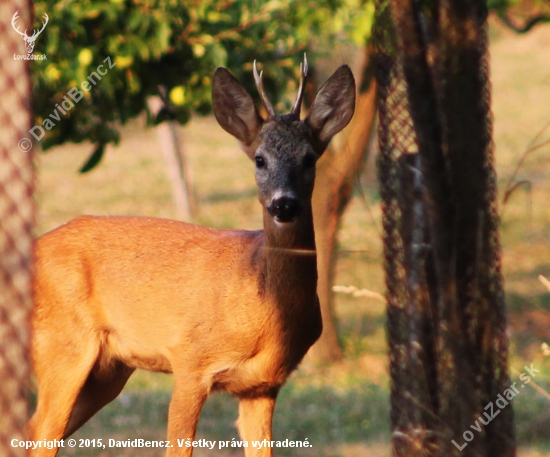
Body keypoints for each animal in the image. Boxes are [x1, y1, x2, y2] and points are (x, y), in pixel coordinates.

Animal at [29, 55, 358, 454]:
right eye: (259, 159)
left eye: (309, 159)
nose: (284, 204)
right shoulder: (190, 360)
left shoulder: (263, 386)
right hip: (61, 344)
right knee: (39, 432)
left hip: (109, 369)